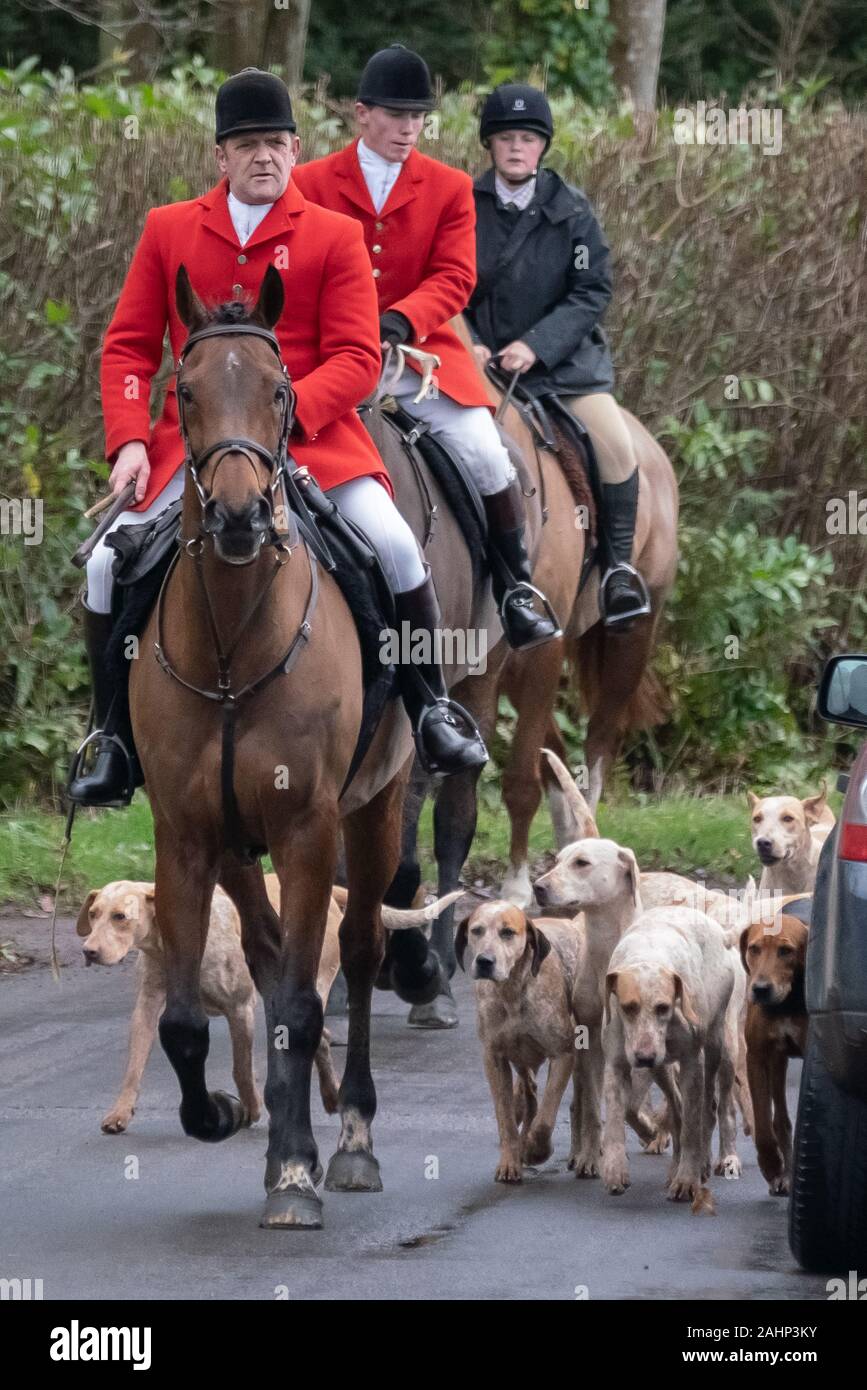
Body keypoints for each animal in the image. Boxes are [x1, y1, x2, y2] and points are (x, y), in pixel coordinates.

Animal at [383, 319, 678, 1028]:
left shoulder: (529, 657)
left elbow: (508, 785)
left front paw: (516, 888)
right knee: (556, 756)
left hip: (623, 642)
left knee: (595, 746)